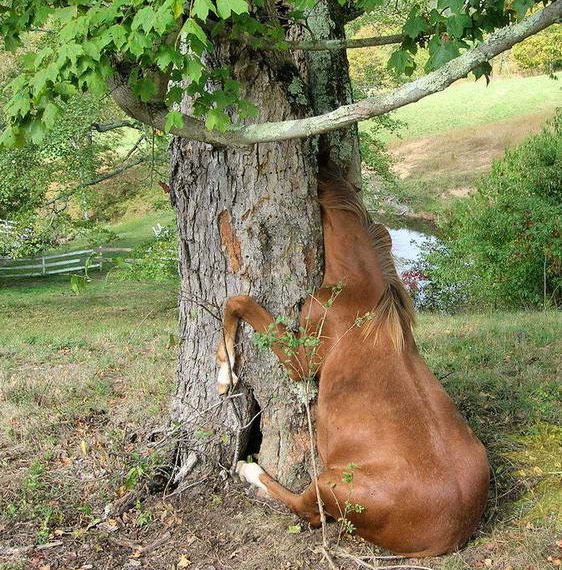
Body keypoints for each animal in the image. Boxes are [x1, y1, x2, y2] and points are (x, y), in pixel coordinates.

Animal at [217, 169, 488, 556]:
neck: (361, 289)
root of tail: (452, 532)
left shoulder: (302, 363)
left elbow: (237, 301)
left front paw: (225, 372)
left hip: (329, 484)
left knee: (308, 511)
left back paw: (248, 470)